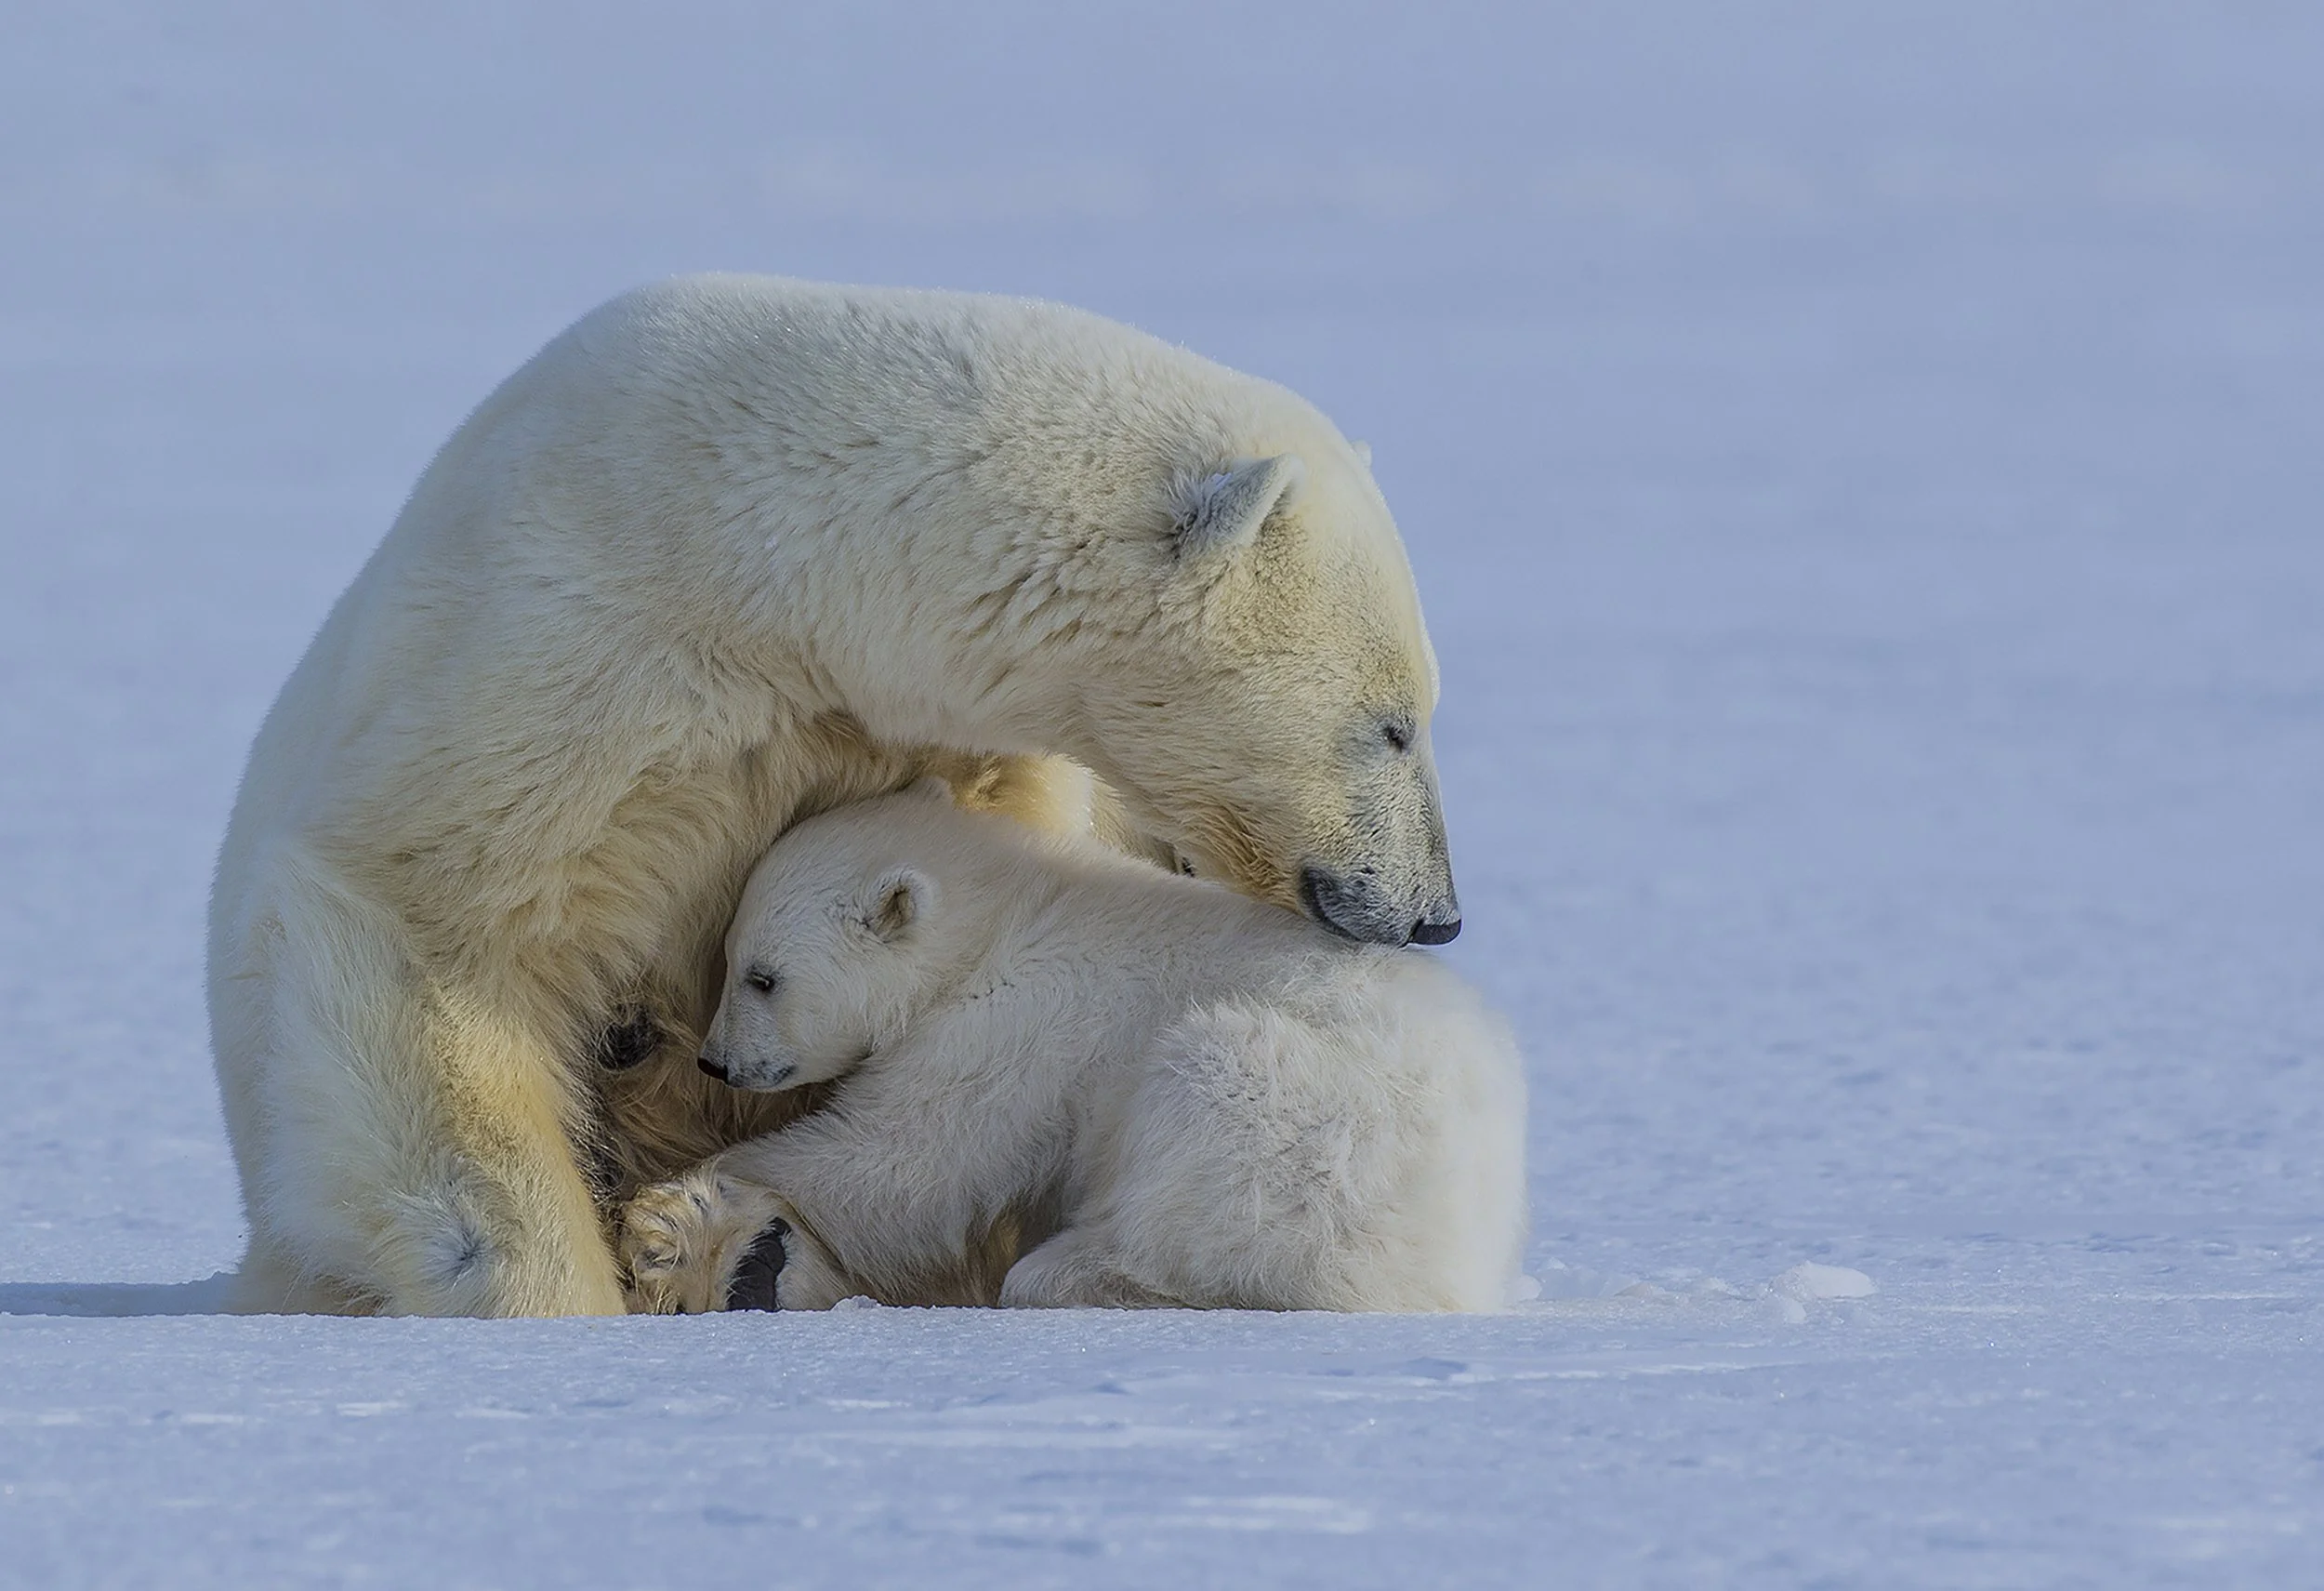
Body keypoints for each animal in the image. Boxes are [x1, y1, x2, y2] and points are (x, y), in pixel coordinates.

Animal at [618, 781, 1528, 1314]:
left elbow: (905, 1162)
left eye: (762, 977)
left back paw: (1069, 1274)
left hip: (1307, 1123)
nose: (717, 1060)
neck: (1004, 909)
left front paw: (680, 1207)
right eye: (729, 958)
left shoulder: (1014, 1027)